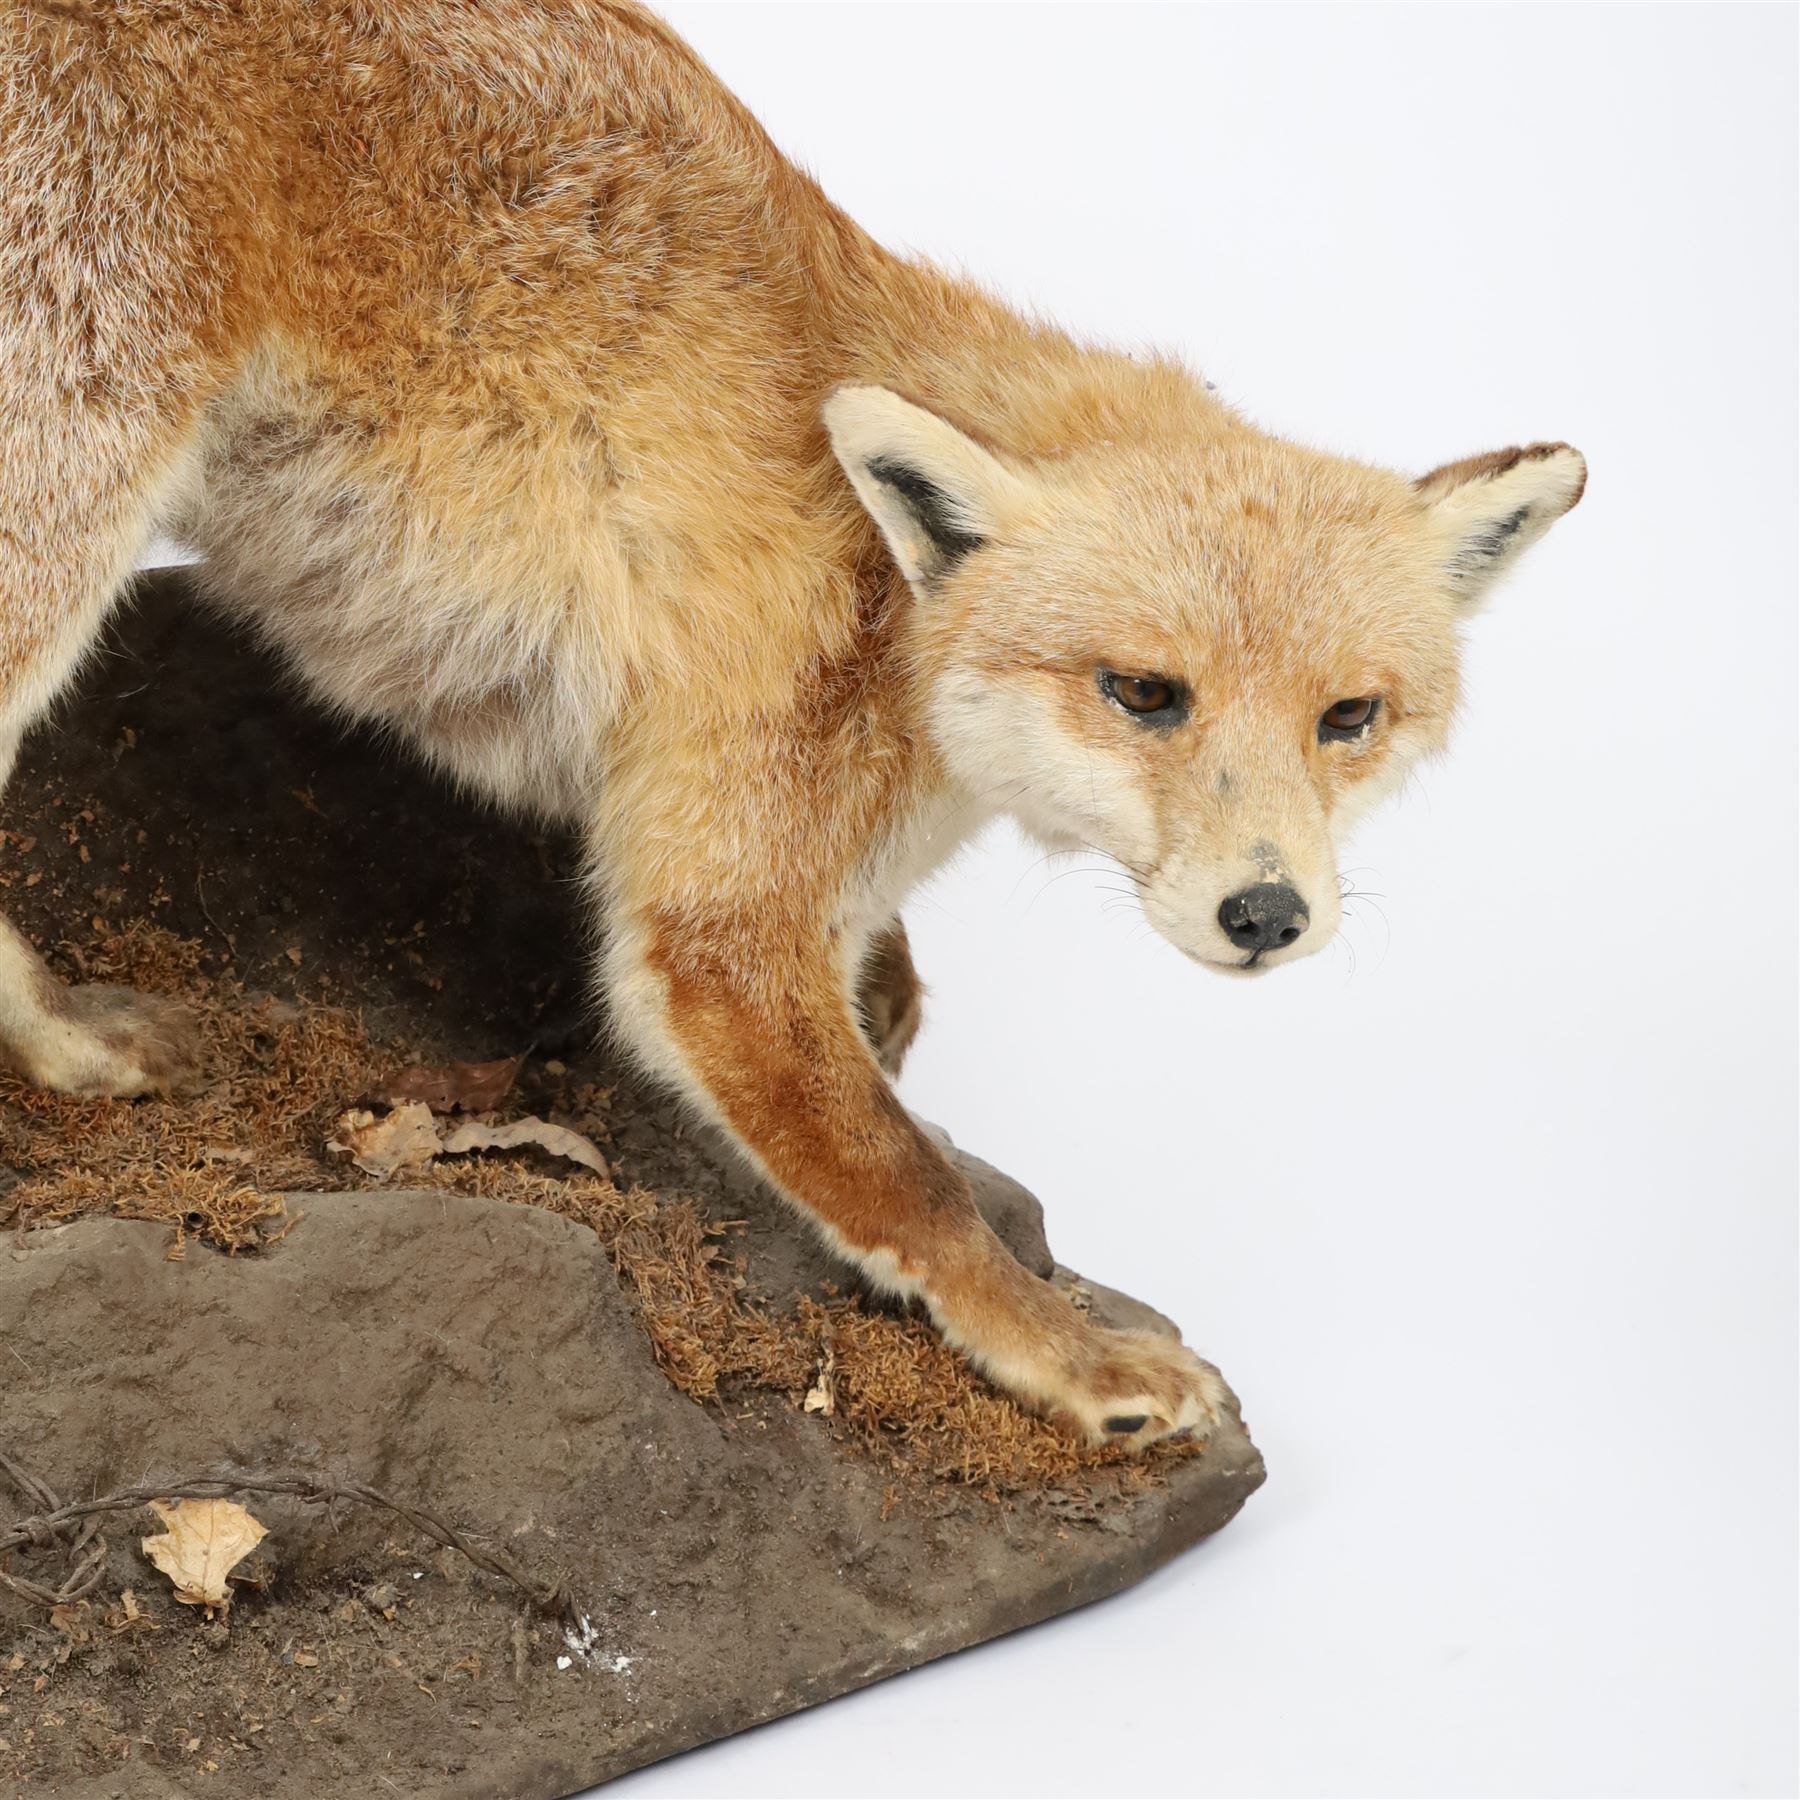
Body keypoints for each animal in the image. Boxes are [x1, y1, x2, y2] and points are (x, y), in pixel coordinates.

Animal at [0, 0, 1584, 1449]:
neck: (888, 605)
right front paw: (1063, 1352)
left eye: (1349, 717)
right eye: (1145, 693)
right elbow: (908, 1181)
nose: (1268, 914)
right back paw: (69, 1048)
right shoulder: (719, 907)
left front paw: (896, 993)